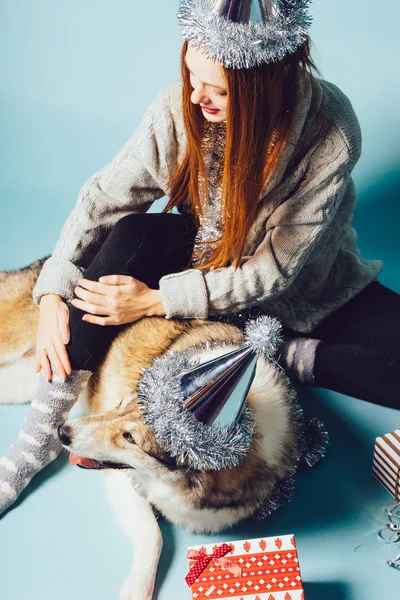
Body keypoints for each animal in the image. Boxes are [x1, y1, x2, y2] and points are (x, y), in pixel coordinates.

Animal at [0, 260, 298, 600]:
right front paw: (139, 586)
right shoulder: (123, 480)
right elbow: (155, 535)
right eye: (120, 403)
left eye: (130, 438)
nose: (64, 433)